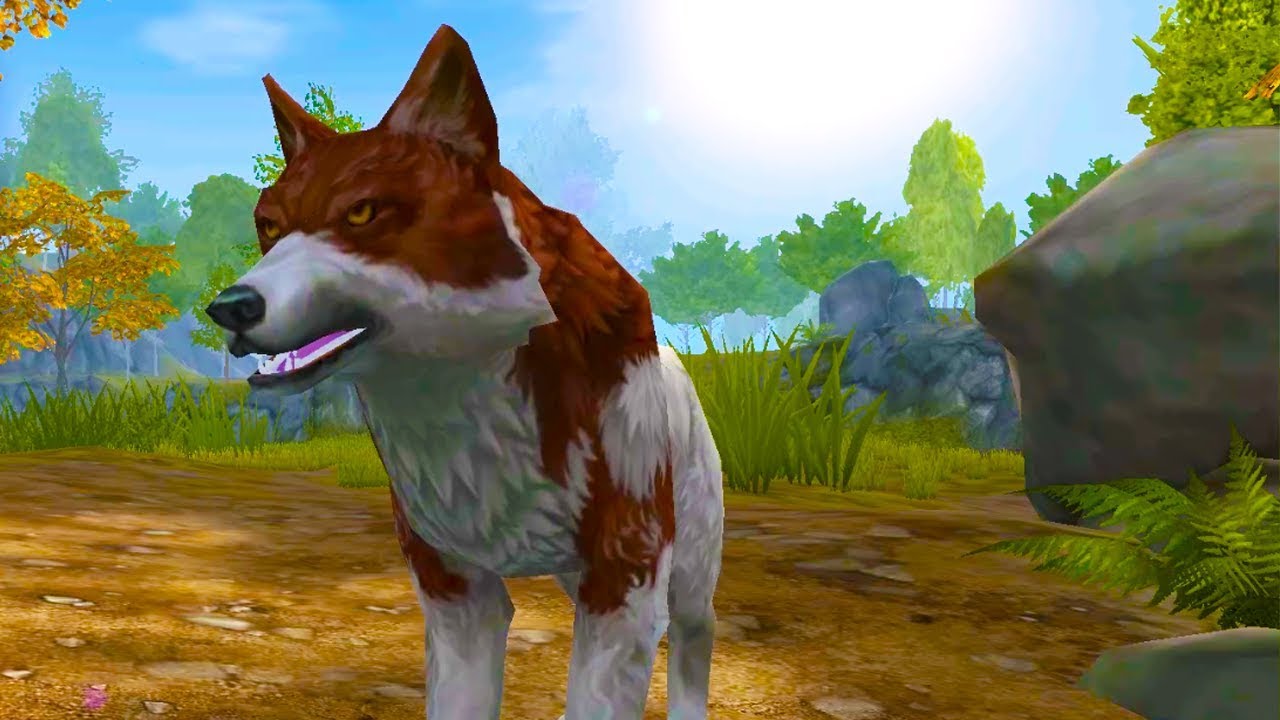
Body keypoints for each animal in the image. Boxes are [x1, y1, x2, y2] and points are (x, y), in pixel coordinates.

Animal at [204, 24, 724, 720]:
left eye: (362, 213)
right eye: (269, 226)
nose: (229, 308)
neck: (465, 389)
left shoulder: (625, 579)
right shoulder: (456, 590)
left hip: (685, 572)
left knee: (696, 636)